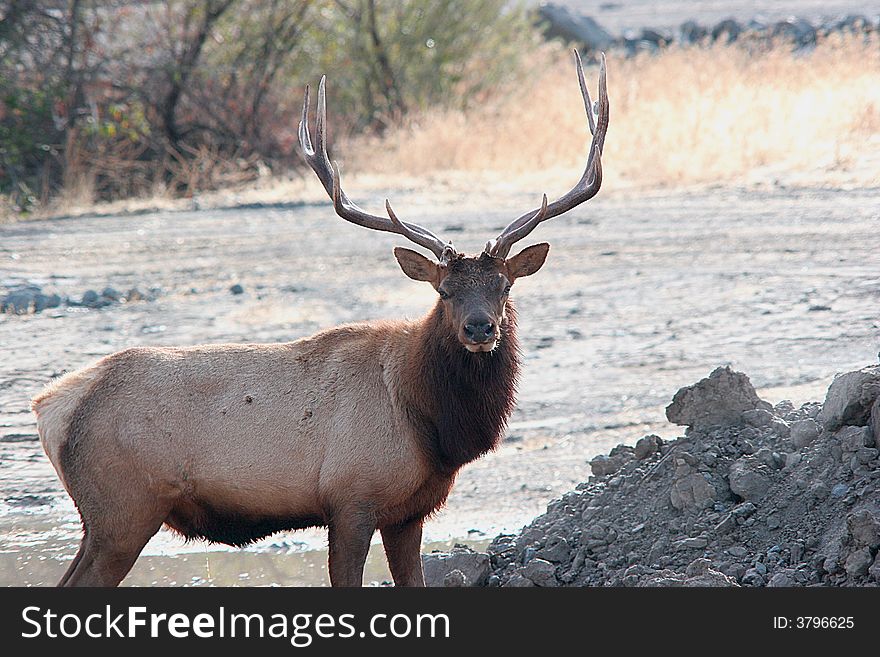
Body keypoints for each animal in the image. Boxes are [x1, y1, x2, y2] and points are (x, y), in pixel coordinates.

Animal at [31, 50, 608, 584]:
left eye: (504, 287)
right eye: (444, 292)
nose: (480, 328)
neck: (430, 424)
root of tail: (51, 407)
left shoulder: (410, 511)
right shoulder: (351, 498)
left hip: (104, 520)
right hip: (122, 511)